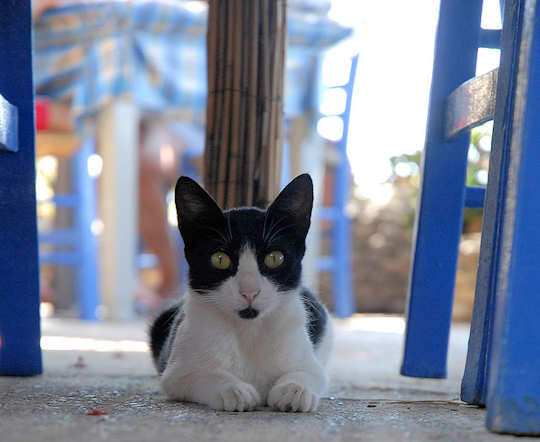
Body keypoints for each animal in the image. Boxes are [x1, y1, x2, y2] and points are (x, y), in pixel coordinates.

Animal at [150, 174, 332, 412]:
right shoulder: (176, 371)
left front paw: (294, 389)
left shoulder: (311, 363)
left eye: (275, 258)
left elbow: (310, 373)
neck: (248, 331)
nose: (249, 291)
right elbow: (199, 375)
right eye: (220, 259)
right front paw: (233, 389)